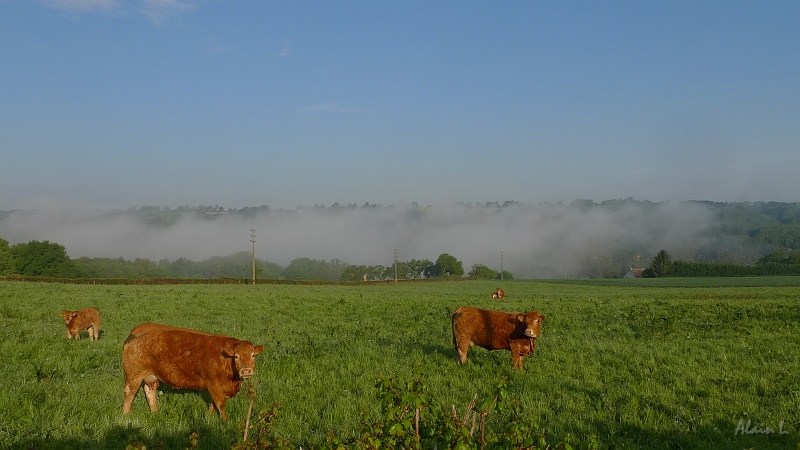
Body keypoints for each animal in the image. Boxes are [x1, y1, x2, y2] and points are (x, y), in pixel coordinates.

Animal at [122, 322, 264, 420]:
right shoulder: (212, 381)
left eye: (253, 355)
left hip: (151, 377)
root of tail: (139, 329)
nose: (246, 371)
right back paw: (126, 415)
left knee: (150, 392)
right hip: (134, 376)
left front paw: (209, 418)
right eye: (236, 356)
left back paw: (155, 412)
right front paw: (225, 421)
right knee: (129, 393)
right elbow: (220, 403)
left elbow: (213, 403)